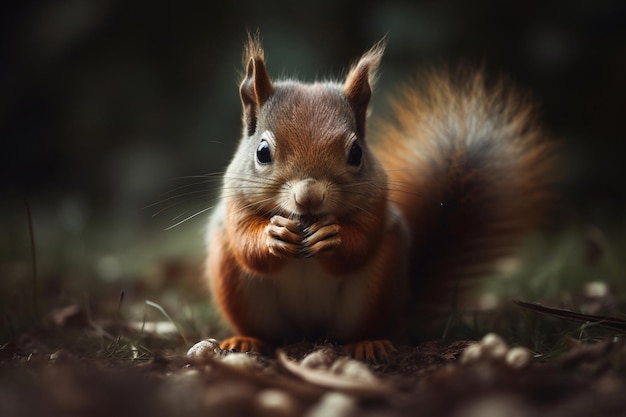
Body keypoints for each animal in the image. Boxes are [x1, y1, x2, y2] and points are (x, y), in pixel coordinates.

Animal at [202, 36, 548, 360]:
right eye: (262, 152)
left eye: (356, 153)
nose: (309, 197)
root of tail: (310, 331)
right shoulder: (234, 204)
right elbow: (246, 243)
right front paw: (274, 235)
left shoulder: (377, 203)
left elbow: (362, 242)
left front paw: (332, 237)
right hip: (238, 287)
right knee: (265, 328)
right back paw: (246, 341)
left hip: (375, 290)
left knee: (359, 327)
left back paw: (367, 343)